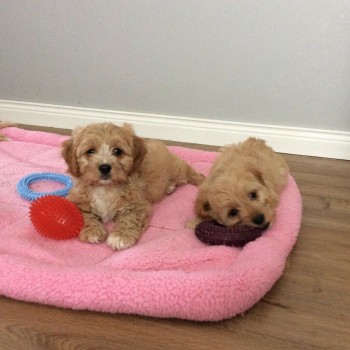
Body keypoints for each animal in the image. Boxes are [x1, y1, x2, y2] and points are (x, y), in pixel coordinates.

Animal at [62, 121, 205, 250]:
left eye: (117, 151)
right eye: (90, 151)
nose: (104, 167)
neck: (105, 187)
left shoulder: (138, 204)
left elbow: (129, 219)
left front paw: (120, 237)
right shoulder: (77, 200)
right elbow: (83, 215)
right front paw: (92, 230)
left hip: (176, 169)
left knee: (188, 172)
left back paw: (200, 181)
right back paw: (170, 187)